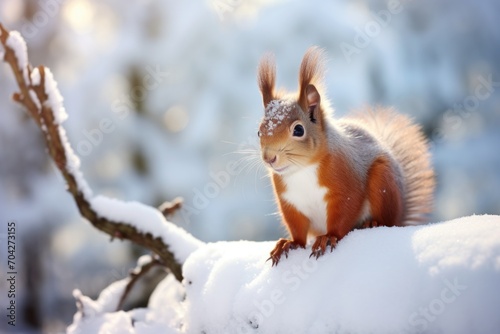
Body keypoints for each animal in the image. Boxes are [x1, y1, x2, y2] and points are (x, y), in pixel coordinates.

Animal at [258, 47, 434, 266]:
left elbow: (344, 213)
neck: (302, 170)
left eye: (298, 130)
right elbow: (297, 228)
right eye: (259, 131)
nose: (269, 158)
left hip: (382, 181)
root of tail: (401, 214)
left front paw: (328, 237)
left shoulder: (346, 185)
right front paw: (289, 243)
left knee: (387, 220)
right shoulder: (290, 202)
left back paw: (372, 223)